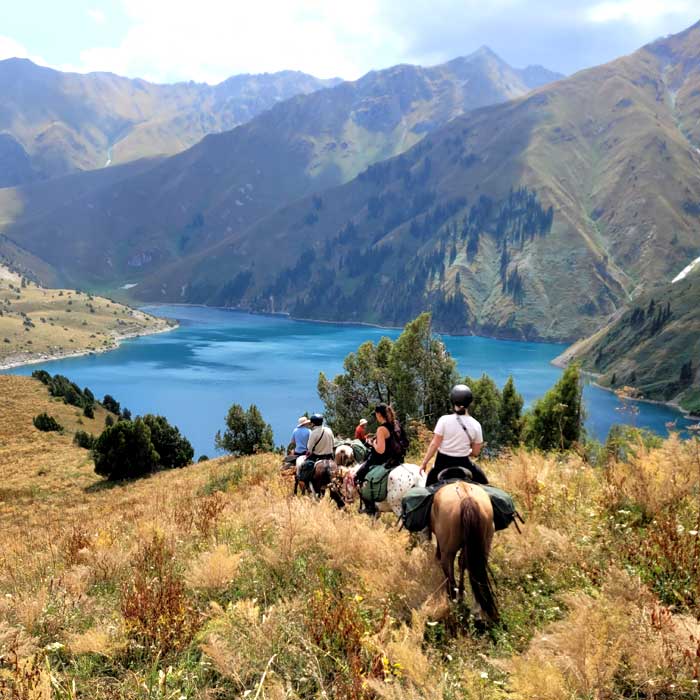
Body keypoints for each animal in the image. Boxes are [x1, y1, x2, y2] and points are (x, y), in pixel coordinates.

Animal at [430, 482, 500, 624]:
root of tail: (466, 497)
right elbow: (463, 564)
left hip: (448, 550)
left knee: (449, 571)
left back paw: (453, 599)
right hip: (484, 544)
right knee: (474, 569)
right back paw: (477, 607)